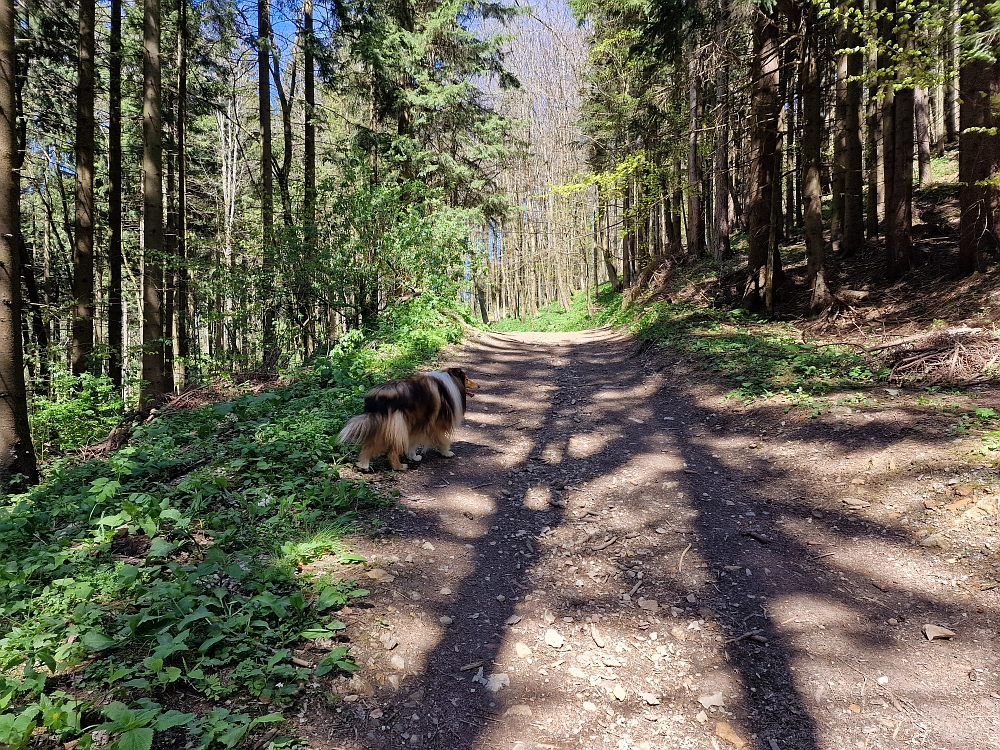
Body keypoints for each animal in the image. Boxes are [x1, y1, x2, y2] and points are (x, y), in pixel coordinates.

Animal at [336, 368, 476, 472]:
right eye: (467, 379)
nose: (478, 385)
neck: (450, 382)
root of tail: (378, 398)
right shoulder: (435, 424)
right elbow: (442, 440)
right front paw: (446, 452)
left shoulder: (418, 423)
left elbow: (413, 442)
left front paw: (413, 456)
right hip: (399, 426)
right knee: (392, 452)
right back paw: (399, 467)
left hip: (383, 424)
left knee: (370, 444)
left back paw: (363, 465)